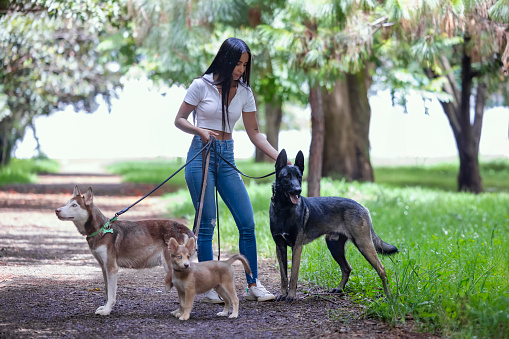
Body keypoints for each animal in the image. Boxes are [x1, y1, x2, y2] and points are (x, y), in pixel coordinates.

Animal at [270, 151, 396, 302]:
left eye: (299, 178)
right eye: (287, 177)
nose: (298, 190)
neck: (284, 209)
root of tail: (362, 207)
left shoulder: (297, 247)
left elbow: (294, 274)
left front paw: (291, 296)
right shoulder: (280, 247)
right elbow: (283, 275)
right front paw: (283, 294)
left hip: (363, 244)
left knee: (382, 269)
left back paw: (389, 296)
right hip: (334, 246)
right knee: (347, 268)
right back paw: (340, 289)